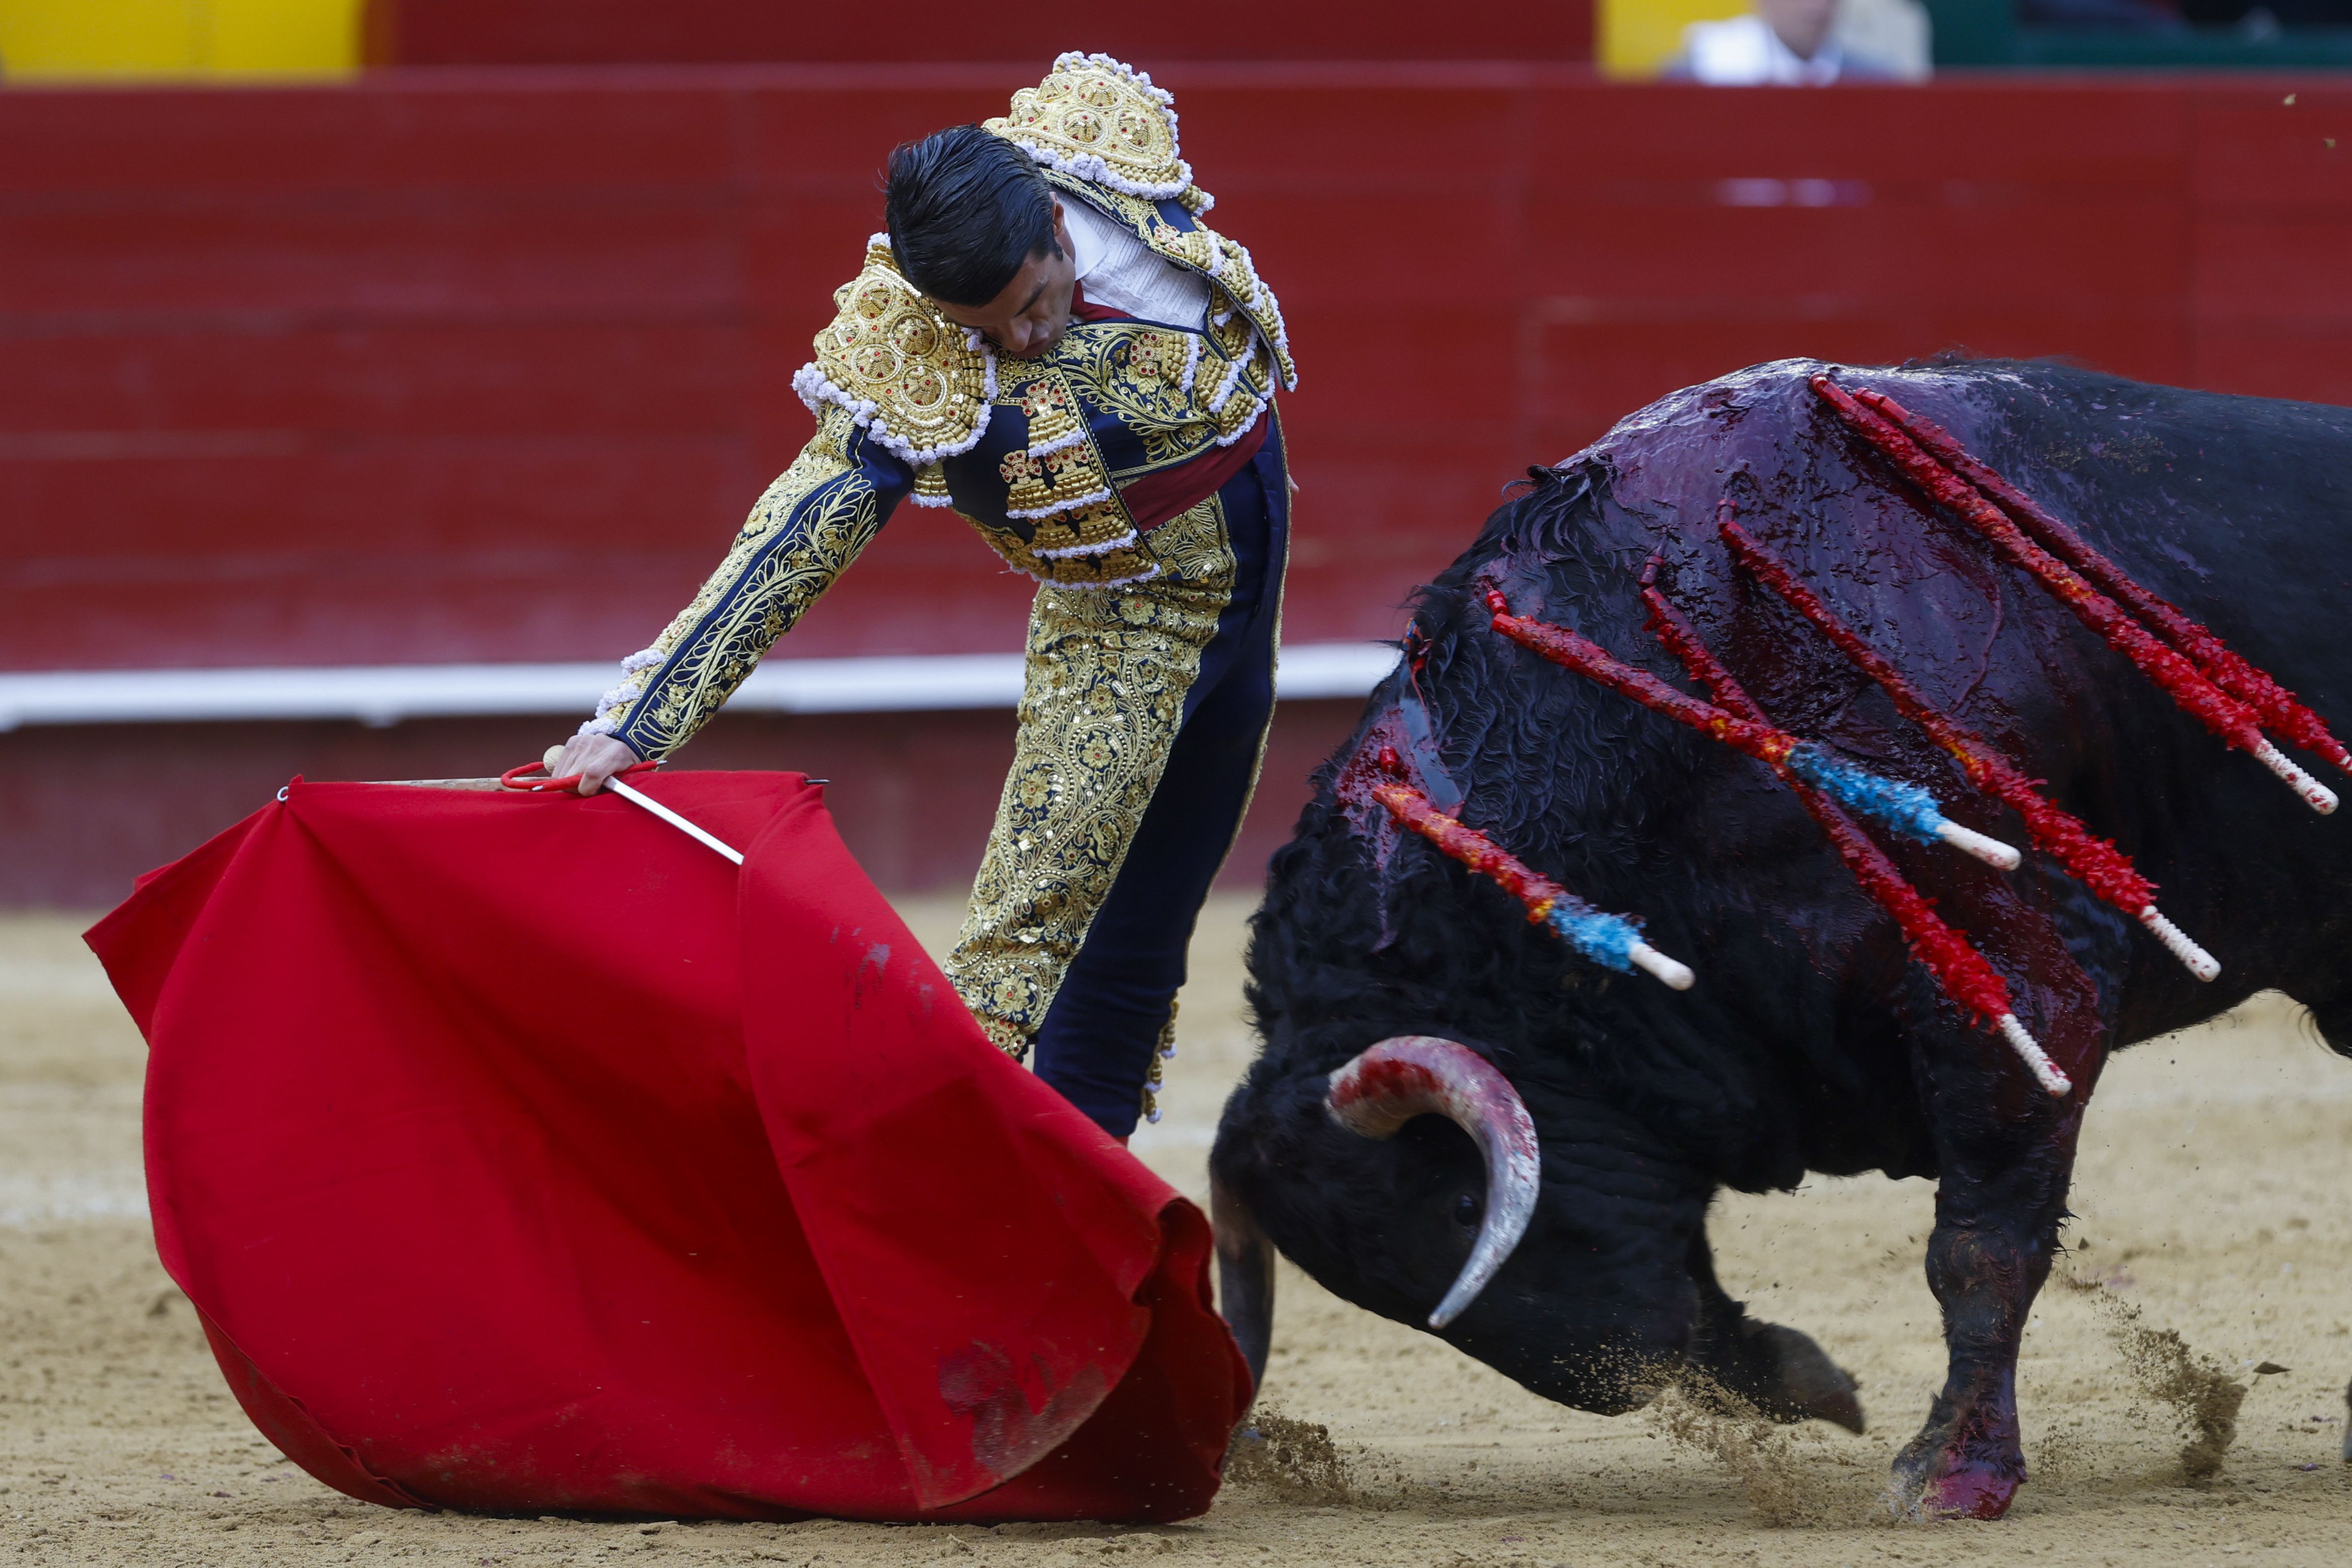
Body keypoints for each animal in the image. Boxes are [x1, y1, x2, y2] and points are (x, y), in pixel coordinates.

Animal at [1213, 360, 2352, 1523]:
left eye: (1456, 1205)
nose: (1623, 1369)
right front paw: (1811, 1385)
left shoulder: (2022, 991)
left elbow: (1978, 1250)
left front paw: (1952, 1473)